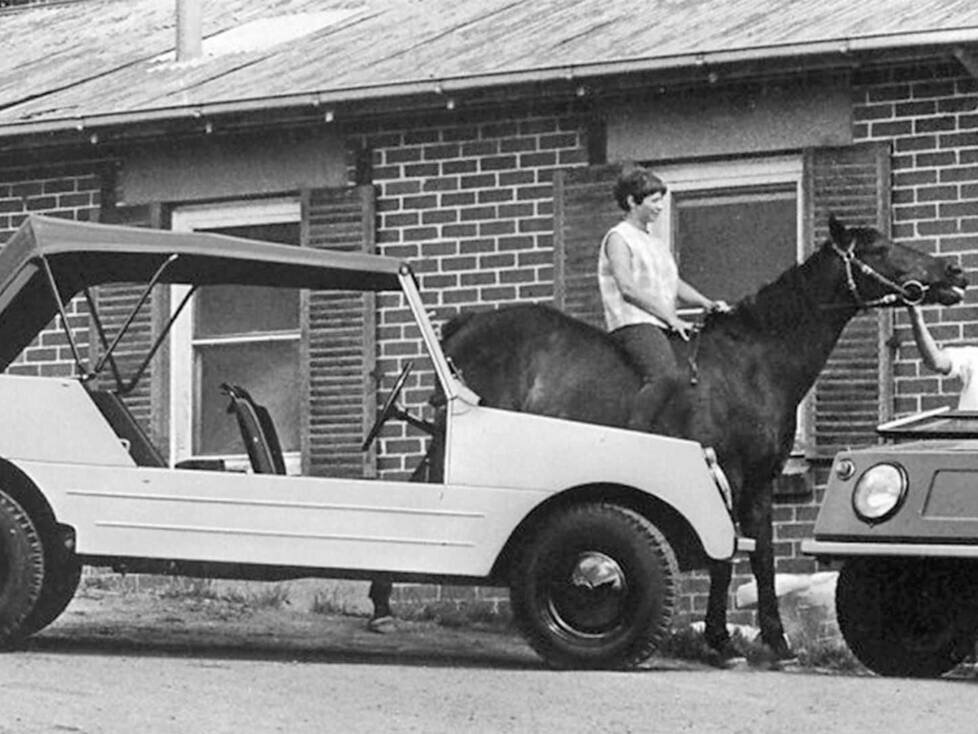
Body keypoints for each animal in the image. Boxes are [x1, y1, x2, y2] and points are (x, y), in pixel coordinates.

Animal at [436, 217, 968, 660]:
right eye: (877, 247)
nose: (954, 271)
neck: (751, 364)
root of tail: (464, 326)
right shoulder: (725, 473)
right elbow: (724, 555)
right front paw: (721, 641)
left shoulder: (761, 480)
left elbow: (763, 555)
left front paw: (776, 642)